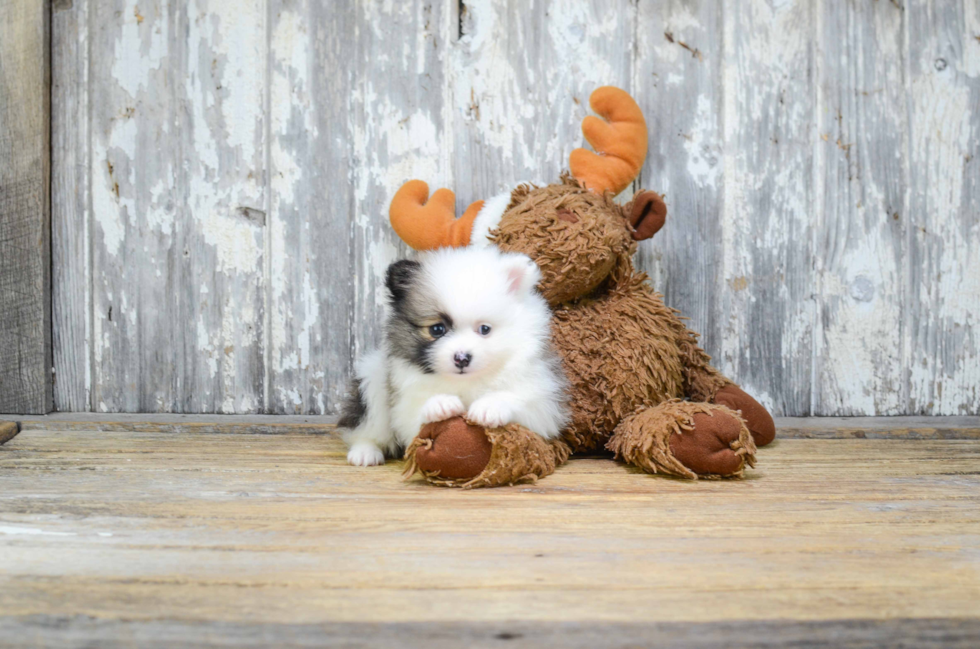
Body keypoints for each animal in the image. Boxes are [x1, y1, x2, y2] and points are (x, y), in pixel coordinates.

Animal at [338, 247, 568, 466]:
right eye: (437, 329)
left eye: (485, 329)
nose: (462, 358)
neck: (466, 382)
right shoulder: (404, 408)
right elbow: (417, 416)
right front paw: (440, 403)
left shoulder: (544, 407)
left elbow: (520, 402)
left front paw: (490, 406)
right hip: (372, 381)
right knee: (365, 428)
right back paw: (365, 453)